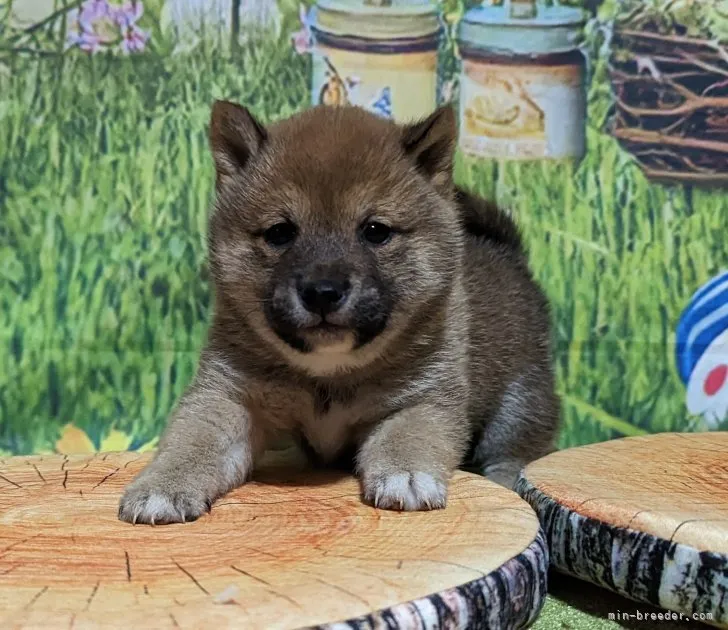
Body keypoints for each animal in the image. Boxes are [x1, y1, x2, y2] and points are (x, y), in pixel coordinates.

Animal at [118, 102, 556, 528]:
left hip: (520, 399)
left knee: (515, 449)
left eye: (376, 231)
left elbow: (407, 437)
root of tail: (507, 251)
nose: (323, 292)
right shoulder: (228, 396)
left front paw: (406, 476)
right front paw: (163, 485)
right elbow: (191, 441)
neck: (329, 374)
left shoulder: (424, 399)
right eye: (280, 232)